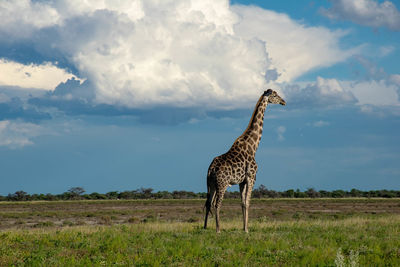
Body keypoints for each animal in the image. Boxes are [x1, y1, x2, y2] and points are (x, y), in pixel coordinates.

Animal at [205, 89, 286, 232]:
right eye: (275, 95)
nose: (284, 102)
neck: (253, 146)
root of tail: (211, 168)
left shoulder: (242, 181)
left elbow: (242, 203)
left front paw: (244, 227)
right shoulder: (252, 177)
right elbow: (248, 202)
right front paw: (247, 229)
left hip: (211, 184)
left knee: (208, 203)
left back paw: (204, 228)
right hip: (222, 184)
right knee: (216, 204)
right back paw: (218, 229)